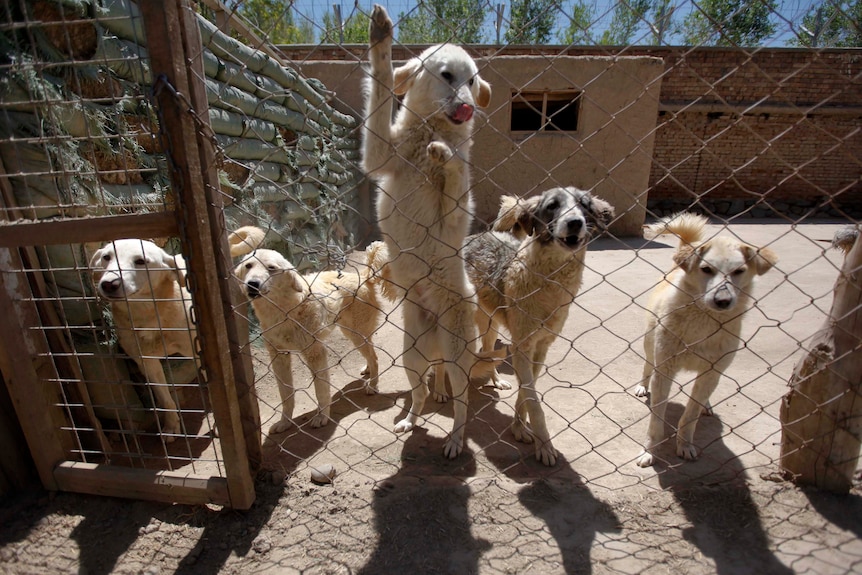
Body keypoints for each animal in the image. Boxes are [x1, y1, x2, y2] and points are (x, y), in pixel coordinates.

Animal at [362, 5, 500, 460]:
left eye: (472, 80)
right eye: (447, 76)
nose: (469, 108)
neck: (428, 132)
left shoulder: (453, 217)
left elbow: (456, 168)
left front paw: (448, 153)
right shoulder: (378, 155)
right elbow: (381, 84)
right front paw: (380, 38)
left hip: (457, 355)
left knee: (460, 403)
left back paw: (455, 439)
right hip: (412, 354)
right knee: (422, 390)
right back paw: (410, 420)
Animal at [636, 213, 784, 468]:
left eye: (739, 271)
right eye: (706, 269)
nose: (722, 300)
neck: (703, 320)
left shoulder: (711, 372)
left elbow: (691, 414)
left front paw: (685, 445)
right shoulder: (664, 369)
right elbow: (656, 420)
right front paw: (649, 451)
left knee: (702, 395)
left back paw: (706, 404)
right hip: (649, 343)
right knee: (647, 365)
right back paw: (643, 386)